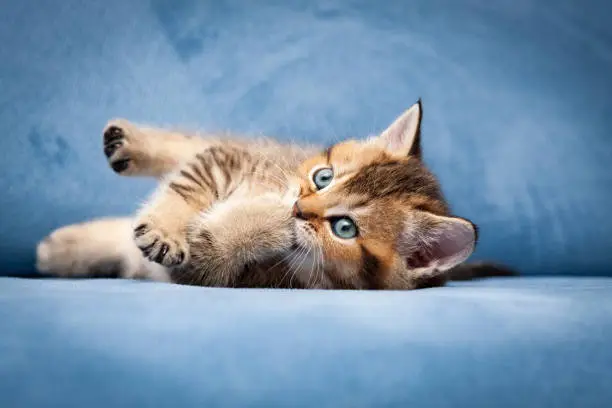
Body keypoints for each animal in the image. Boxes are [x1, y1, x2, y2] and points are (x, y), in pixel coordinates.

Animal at [35, 102, 512, 290]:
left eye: (344, 228)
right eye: (323, 177)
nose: (299, 206)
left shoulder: (210, 270)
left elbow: (216, 244)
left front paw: (275, 222)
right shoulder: (232, 159)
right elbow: (189, 180)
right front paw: (166, 228)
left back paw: (61, 249)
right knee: (192, 145)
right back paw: (126, 144)